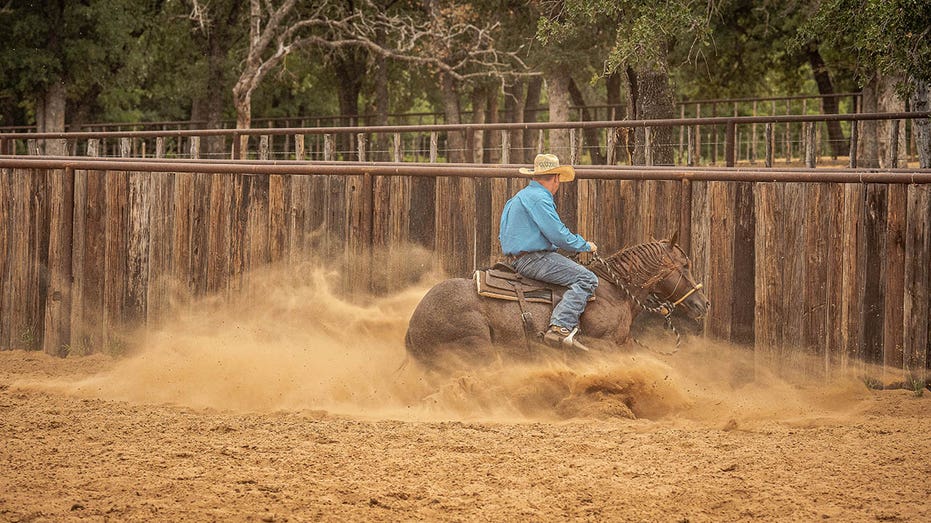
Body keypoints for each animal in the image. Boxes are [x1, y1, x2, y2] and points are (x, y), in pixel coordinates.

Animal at [404, 235, 708, 370]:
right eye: (685, 265)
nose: (703, 304)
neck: (614, 293)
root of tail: (414, 321)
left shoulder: (624, 345)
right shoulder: (600, 346)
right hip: (475, 349)